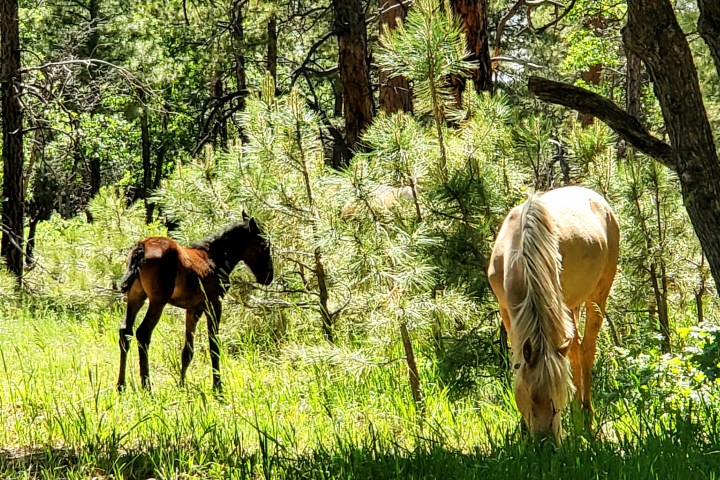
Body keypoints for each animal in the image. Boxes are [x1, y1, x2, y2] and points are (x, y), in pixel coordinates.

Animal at [116, 213, 274, 393]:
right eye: (264, 245)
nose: (268, 277)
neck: (214, 257)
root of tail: (141, 248)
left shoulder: (193, 310)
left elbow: (187, 351)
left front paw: (181, 385)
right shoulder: (213, 304)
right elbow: (214, 346)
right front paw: (217, 387)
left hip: (135, 297)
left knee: (125, 332)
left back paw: (121, 385)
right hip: (158, 301)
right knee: (143, 333)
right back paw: (147, 386)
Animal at [487, 186, 619, 442]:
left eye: (558, 397)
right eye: (530, 398)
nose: (546, 444)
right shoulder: (507, 312)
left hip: (598, 293)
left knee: (586, 350)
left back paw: (586, 417)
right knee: (576, 350)